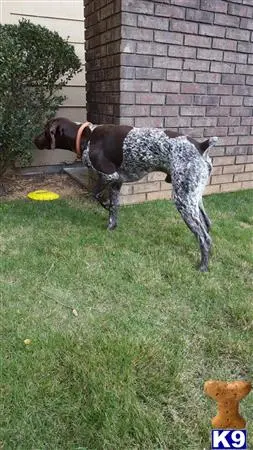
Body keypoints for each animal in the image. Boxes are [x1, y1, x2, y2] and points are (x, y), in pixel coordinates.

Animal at [34, 117, 217, 270]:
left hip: (182, 200)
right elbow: (114, 209)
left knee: (204, 237)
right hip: (193, 198)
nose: (34, 140)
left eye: (44, 130)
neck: (87, 137)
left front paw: (104, 207)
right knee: (207, 225)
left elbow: (96, 196)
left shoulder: (110, 176)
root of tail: (201, 146)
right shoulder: (117, 183)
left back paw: (203, 266)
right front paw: (111, 228)